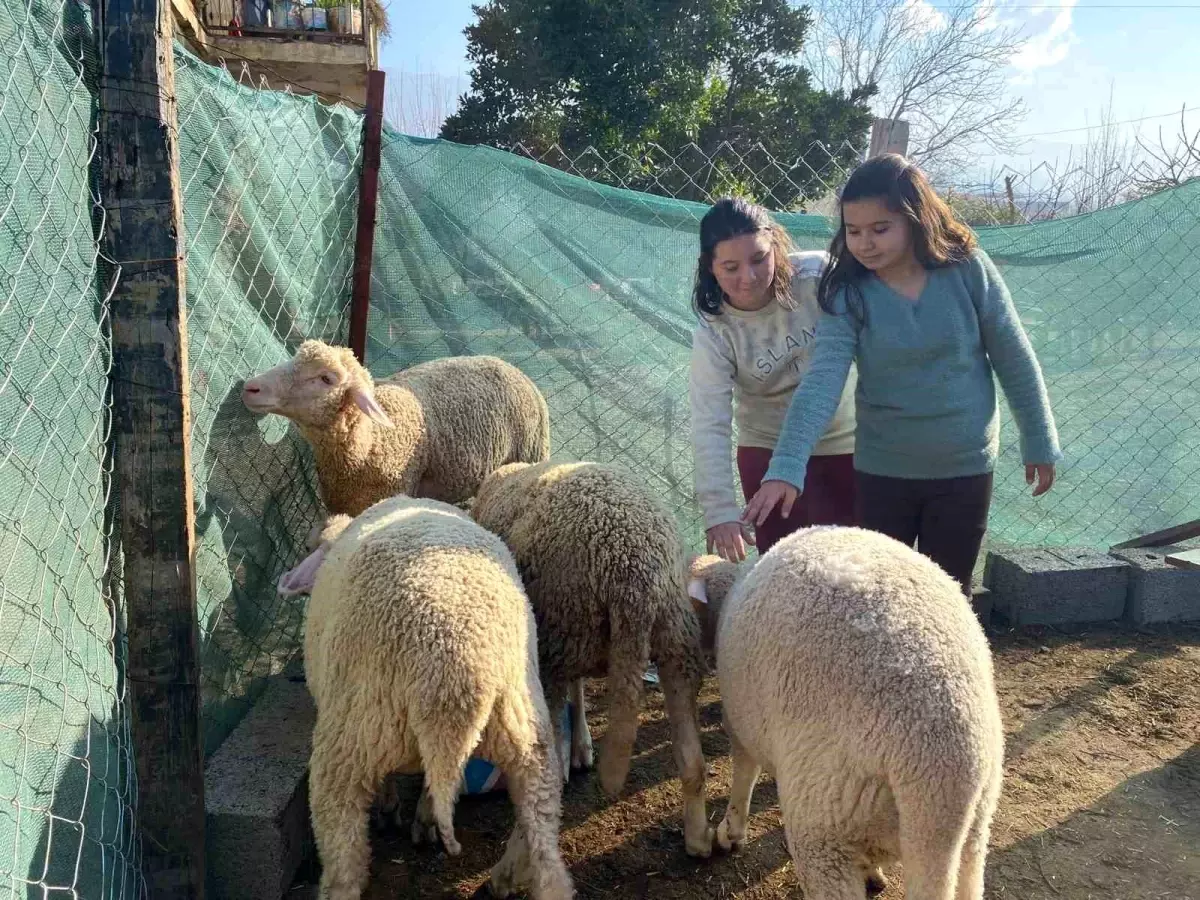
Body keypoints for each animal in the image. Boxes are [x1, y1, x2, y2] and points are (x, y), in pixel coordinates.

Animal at [285, 496, 576, 897]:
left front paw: (391, 808)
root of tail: (451, 682)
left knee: (343, 859)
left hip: (351, 741)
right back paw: (506, 876)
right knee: (544, 846)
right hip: (526, 734)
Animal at [465, 465, 710, 859]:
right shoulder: (575, 648)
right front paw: (581, 747)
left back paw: (516, 861)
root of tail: (634, 571)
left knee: (544, 776)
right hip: (673, 639)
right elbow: (578, 688)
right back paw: (699, 839)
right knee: (692, 761)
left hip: (558, 633)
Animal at [686, 528, 1003, 900]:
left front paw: (730, 831)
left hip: (826, 818)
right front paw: (874, 872)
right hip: (977, 819)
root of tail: (938, 774)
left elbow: (743, 772)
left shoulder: (741, 721)